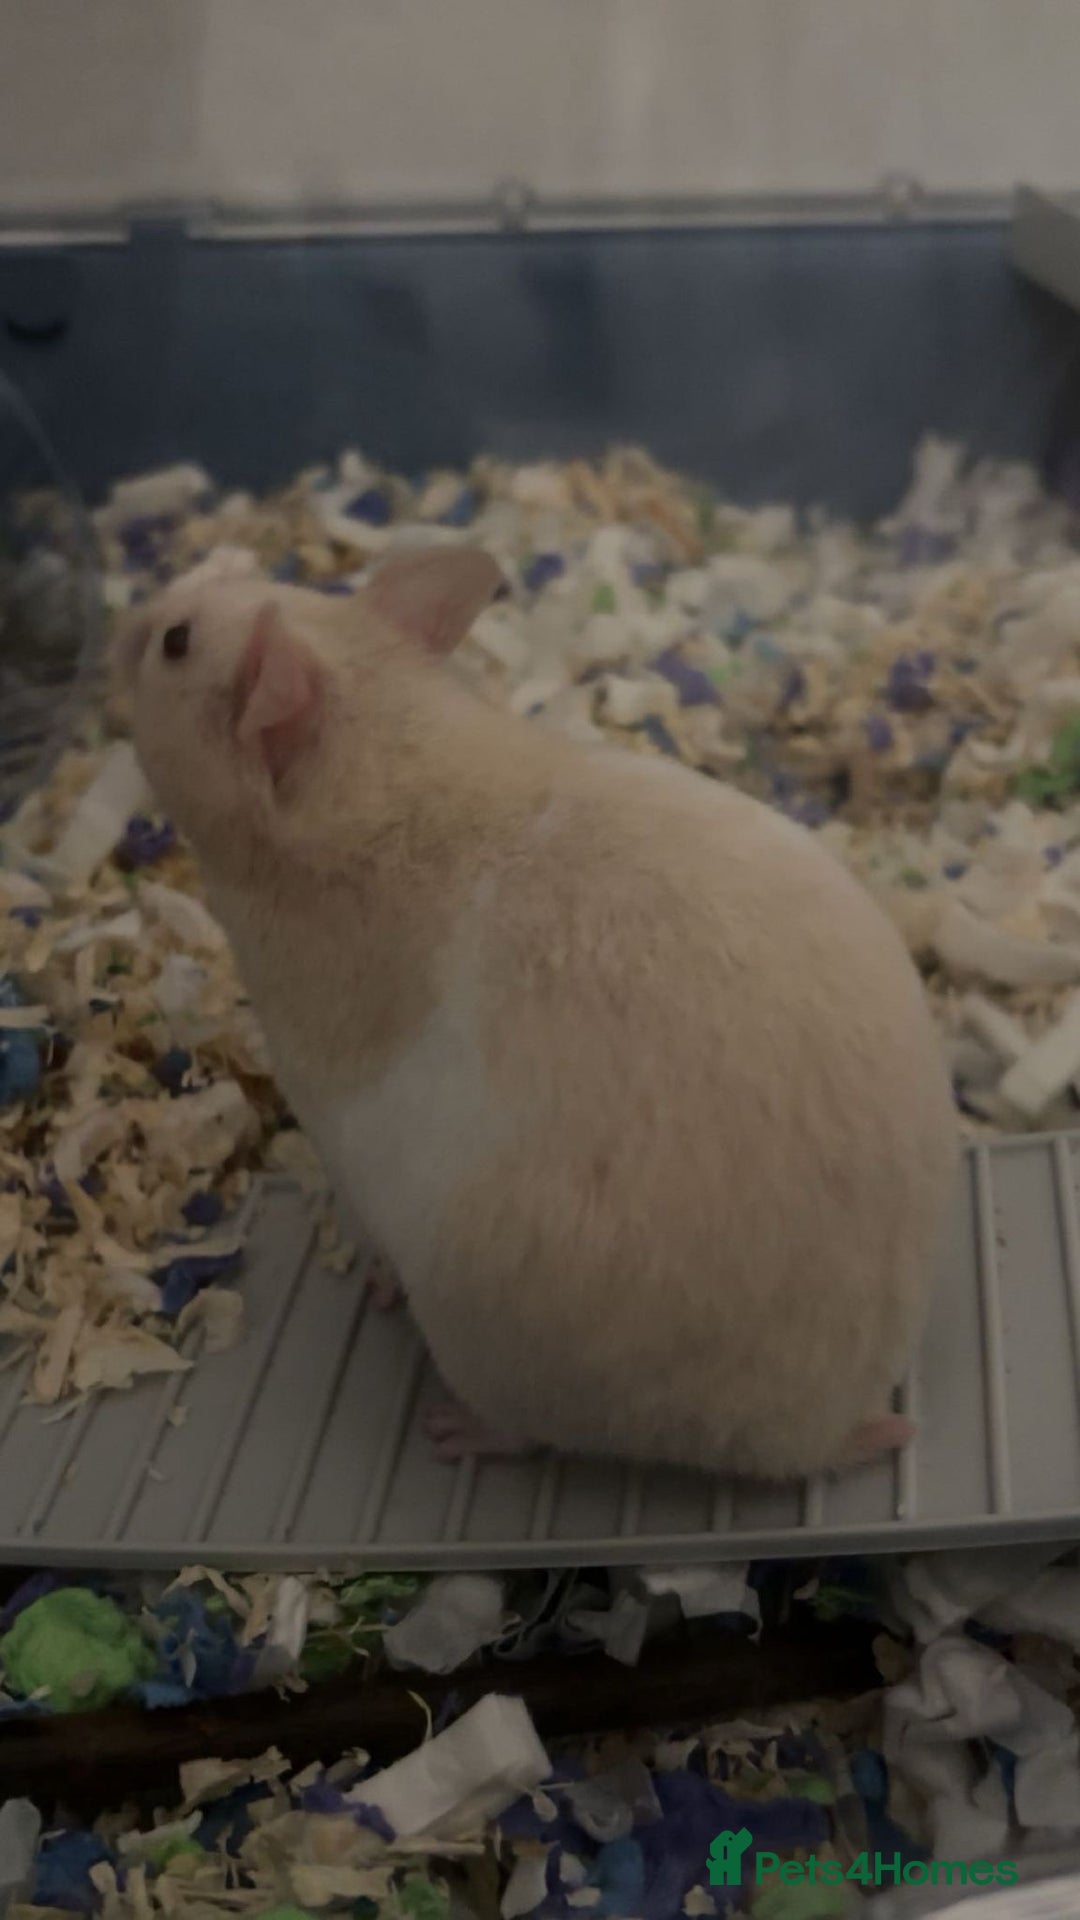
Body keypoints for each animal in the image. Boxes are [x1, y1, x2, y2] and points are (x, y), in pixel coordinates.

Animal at [120, 548, 957, 1481]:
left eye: (175, 643)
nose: (128, 620)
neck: (381, 758)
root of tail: (822, 1431)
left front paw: (374, 1285)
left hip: (491, 1340)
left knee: (524, 1432)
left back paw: (450, 1430)